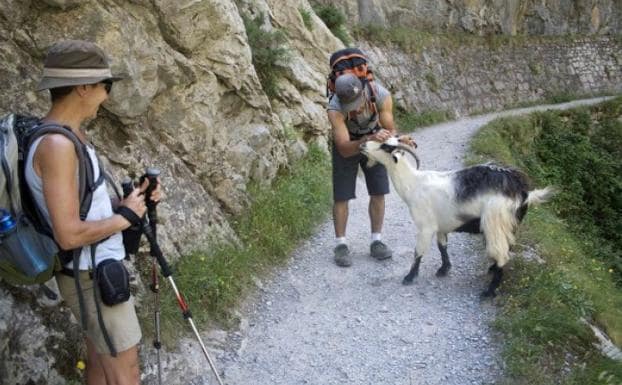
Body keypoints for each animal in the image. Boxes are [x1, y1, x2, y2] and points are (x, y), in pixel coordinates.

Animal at [360, 138, 556, 296]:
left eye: (385, 146)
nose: (362, 144)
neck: (413, 184)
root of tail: (523, 192)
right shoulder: (441, 225)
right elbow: (442, 247)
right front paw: (444, 269)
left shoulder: (426, 226)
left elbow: (418, 252)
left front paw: (409, 277)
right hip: (508, 224)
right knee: (506, 248)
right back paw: (492, 269)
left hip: (494, 221)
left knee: (501, 254)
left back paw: (489, 291)